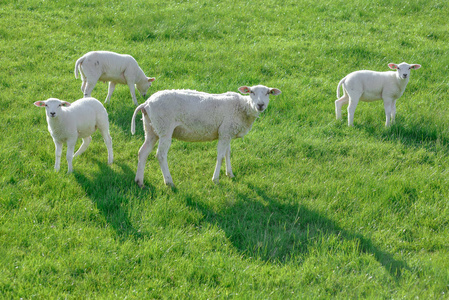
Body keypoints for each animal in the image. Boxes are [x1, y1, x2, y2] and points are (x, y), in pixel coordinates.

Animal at [130, 85, 282, 188]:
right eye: (251, 92)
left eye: (268, 93)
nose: (260, 105)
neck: (243, 107)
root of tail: (146, 103)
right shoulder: (225, 132)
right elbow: (220, 156)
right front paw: (215, 179)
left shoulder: (227, 132)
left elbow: (227, 154)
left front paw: (230, 174)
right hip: (164, 128)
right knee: (160, 155)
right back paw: (169, 181)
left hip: (151, 128)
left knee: (142, 152)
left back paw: (139, 181)